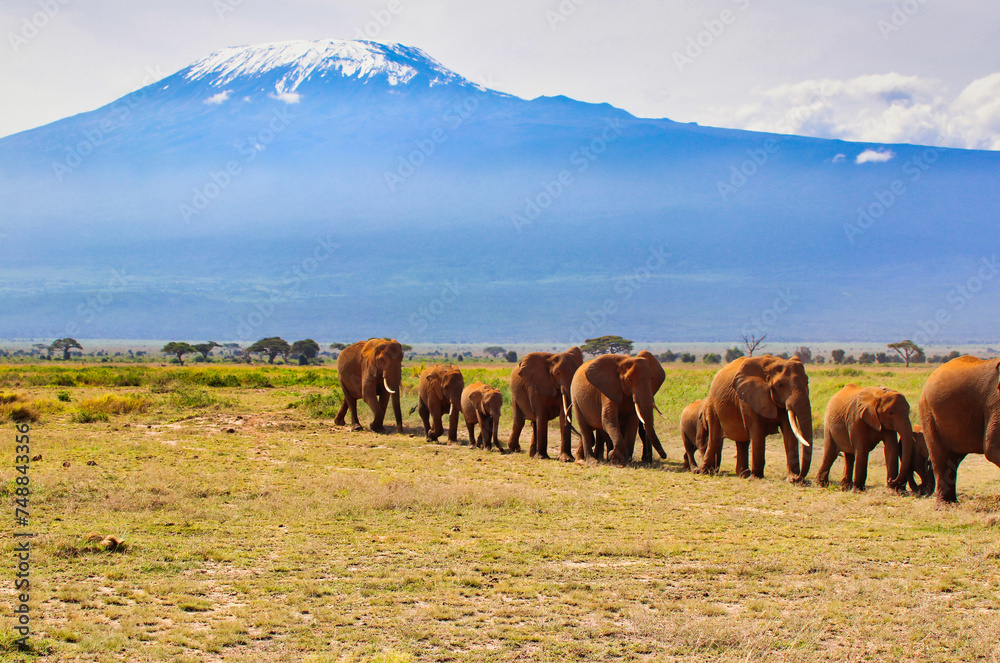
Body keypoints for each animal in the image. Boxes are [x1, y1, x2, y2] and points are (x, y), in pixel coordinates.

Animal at [919, 355, 1000, 503]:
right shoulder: (995, 402)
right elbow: (992, 448)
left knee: (953, 460)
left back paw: (953, 503)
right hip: (927, 412)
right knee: (940, 457)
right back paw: (945, 505)